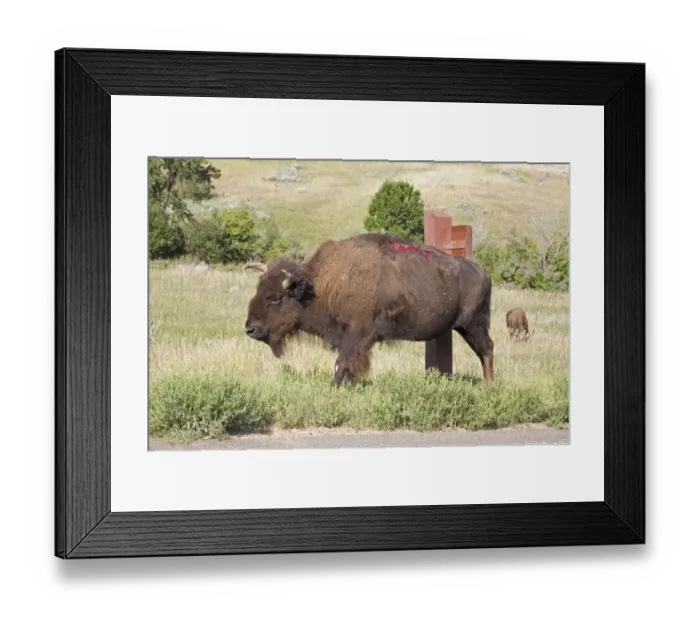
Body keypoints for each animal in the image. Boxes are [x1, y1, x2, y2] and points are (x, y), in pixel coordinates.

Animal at [243, 232, 495, 386]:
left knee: (487, 350)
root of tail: (485, 273)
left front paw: (337, 385)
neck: (319, 285)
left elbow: (343, 363)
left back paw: (490, 384)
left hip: (474, 326)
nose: (250, 329)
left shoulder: (356, 335)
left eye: (276, 299)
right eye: (258, 289)